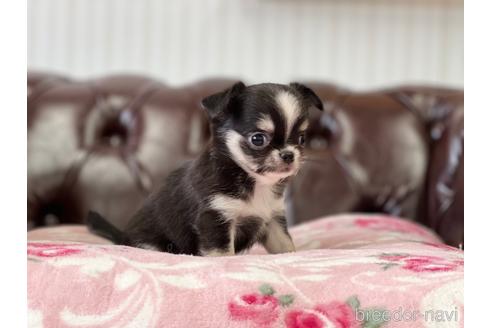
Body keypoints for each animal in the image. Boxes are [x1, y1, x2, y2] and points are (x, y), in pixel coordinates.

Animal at [88, 82, 322, 256]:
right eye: (258, 139)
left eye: (302, 139)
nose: (288, 155)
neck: (251, 181)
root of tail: (123, 237)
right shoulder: (216, 218)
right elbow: (222, 253)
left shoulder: (272, 219)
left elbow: (285, 245)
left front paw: (291, 256)